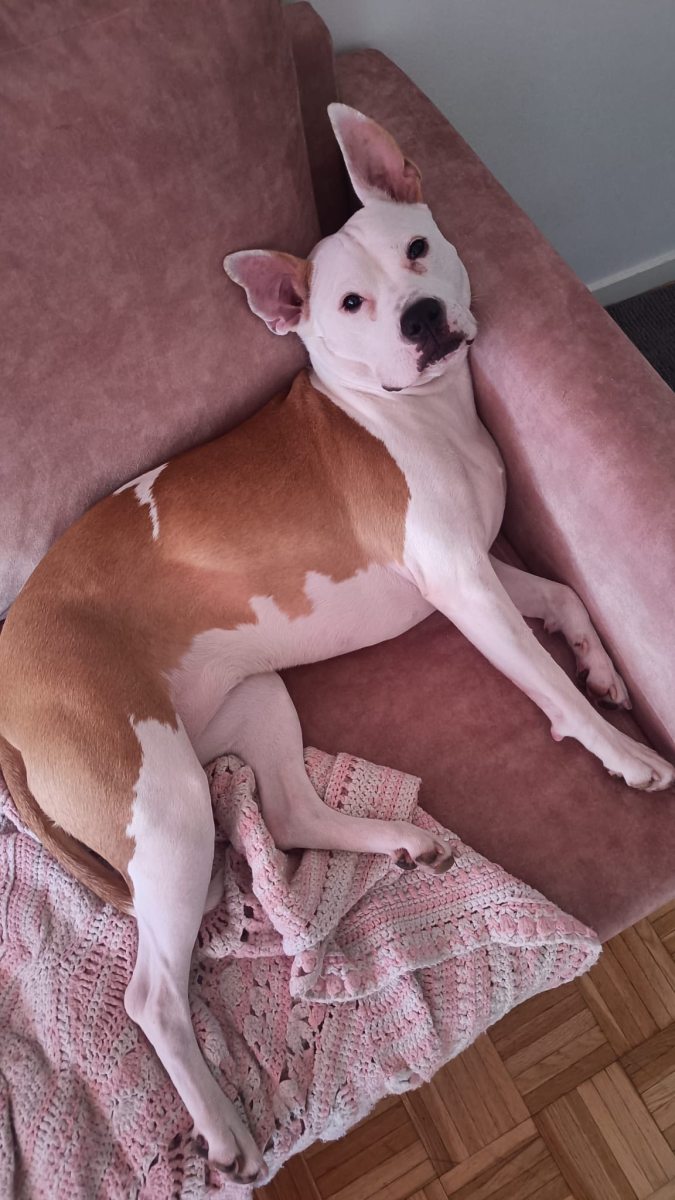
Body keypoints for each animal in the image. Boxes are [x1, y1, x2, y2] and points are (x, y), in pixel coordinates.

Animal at [0, 104, 673, 1184]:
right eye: (351, 302)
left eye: (417, 248)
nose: (420, 317)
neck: (415, 413)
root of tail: (10, 668)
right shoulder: (467, 591)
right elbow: (550, 690)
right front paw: (621, 750)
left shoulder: (473, 576)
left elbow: (569, 595)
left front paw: (608, 666)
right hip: (166, 801)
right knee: (152, 991)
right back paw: (223, 1129)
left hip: (254, 698)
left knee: (287, 809)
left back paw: (397, 842)